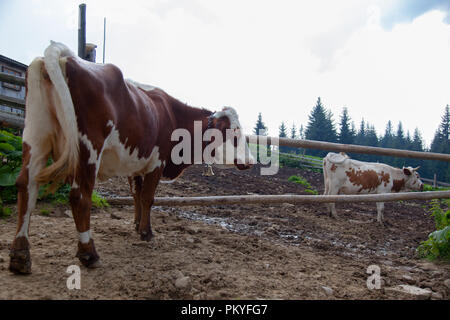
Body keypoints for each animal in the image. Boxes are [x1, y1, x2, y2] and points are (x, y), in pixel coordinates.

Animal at [8, 41, 253, 274]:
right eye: (235, 132)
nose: (251, 161)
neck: (173, 116)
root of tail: (65, 56)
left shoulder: (135, 164)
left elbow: (136, 195)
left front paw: (136, 224)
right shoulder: (157, 162)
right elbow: (148, 197)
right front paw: (146, 232)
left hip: (35, 138)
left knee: (25, 186)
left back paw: (20, 255)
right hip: (87, 149)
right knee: (79, 196)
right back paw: (89, 252)